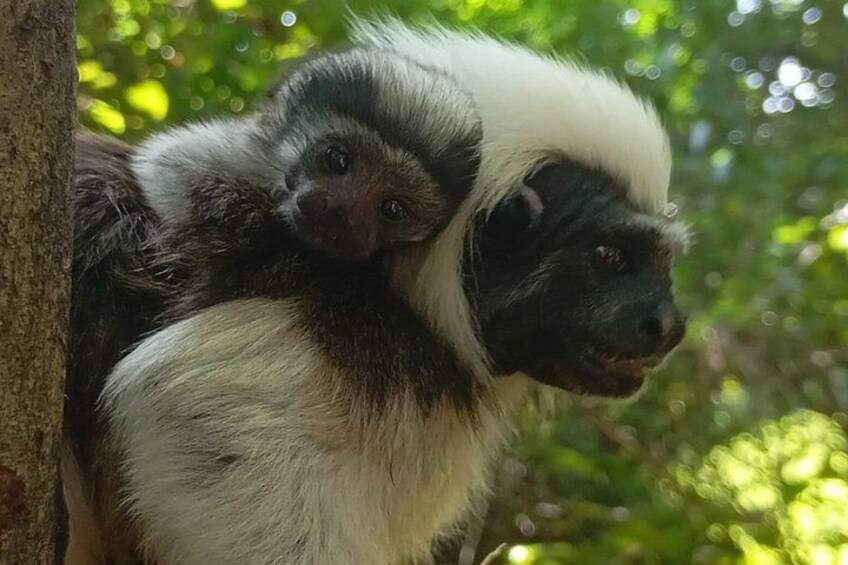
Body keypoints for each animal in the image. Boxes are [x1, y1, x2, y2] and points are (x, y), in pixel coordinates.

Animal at [81, 21, 691, 565]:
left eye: (662, 264)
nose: (667, 327)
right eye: (610, 257)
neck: (404, 297)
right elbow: (185, 396)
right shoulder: (325, 331)